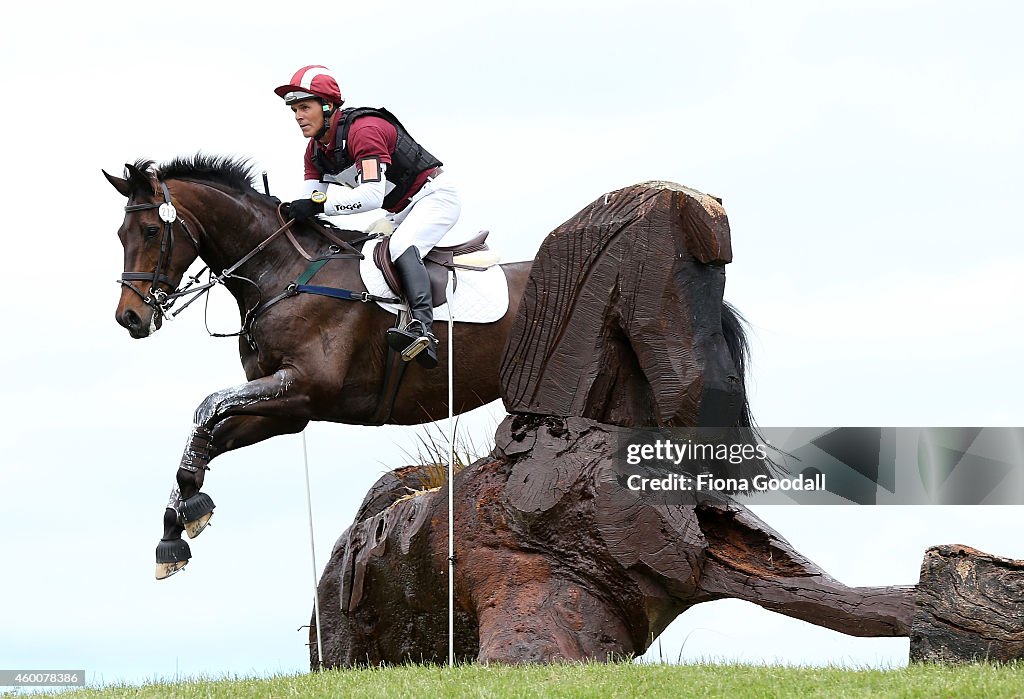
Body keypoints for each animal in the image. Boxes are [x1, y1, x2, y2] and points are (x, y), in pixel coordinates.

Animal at [103, 155, 532, 581]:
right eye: (122, 234)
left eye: (151, 230)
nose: (129, 317)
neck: (281, 274)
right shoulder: (288, 409)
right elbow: (210, 436)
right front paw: (173, 530)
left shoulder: (306, 386)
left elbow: (207, 407)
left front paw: (187, 506)